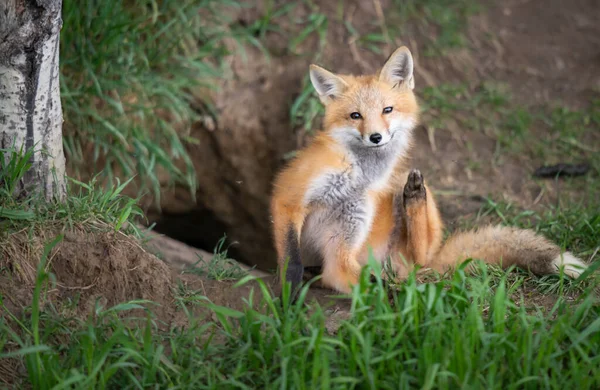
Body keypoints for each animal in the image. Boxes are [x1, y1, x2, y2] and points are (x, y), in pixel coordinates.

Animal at [270, 45, 584, 294]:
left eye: (387, 110)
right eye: (355, 116)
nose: (376, 137)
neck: (358, 179)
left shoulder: (348, 227)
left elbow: (340, 273)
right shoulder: (289, 197)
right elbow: (295, 261)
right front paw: (290, 293)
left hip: (407, 205)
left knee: (421, 256)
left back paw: (414, 199)